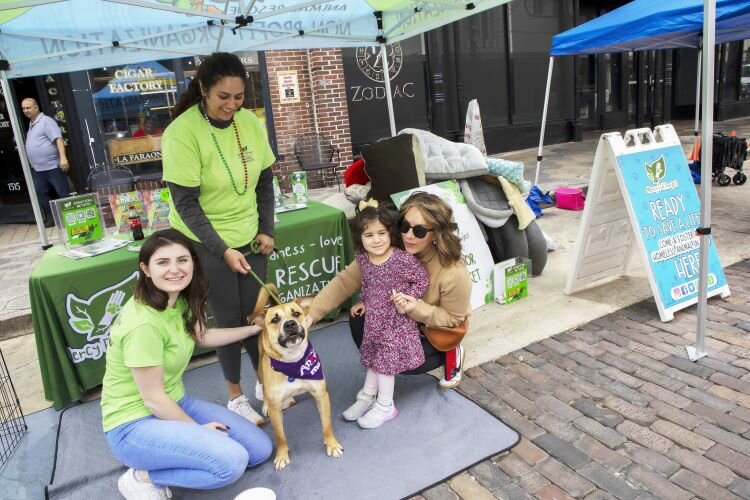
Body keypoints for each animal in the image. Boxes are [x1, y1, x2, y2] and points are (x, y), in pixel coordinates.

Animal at [253, 286, 346, 468]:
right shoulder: (275, 409)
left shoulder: (321, 395)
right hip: (260, 370)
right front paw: (282, 455)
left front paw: (331, 445)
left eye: (296, 313)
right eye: (275, 320)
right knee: (263, 388)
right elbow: (280, 436)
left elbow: (326, 426)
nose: (290, 324)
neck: (293, 361)